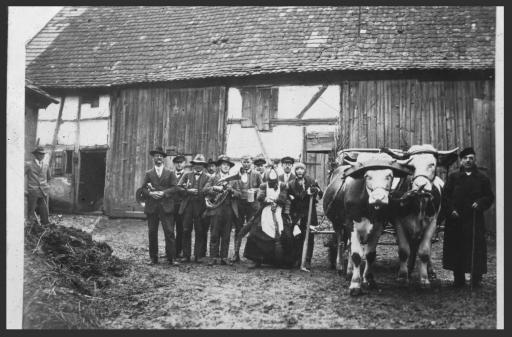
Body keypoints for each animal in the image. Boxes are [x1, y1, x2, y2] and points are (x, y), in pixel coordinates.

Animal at [324, 151, 412, 296]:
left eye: (390, 175)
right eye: (367, 176)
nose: (379, 198)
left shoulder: (378, 227)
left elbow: (370, 255)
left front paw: (368, 280)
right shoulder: (351, 225)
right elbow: (356, 255)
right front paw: (355, 284)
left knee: (348, 246)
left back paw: (349, 271)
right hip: (337, 224)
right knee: (341, 243)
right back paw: (340, 267)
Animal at [382, 143, 458, 288]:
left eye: (433, 164)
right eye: (411, 166)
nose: (420, 186)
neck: (418, 202)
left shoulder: (432, 223)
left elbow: (424, 252)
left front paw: (424, 279)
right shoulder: (398, 222)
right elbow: (404, 250)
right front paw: (402, 276)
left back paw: (430, 271)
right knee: (412, 246)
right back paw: (410, 268)